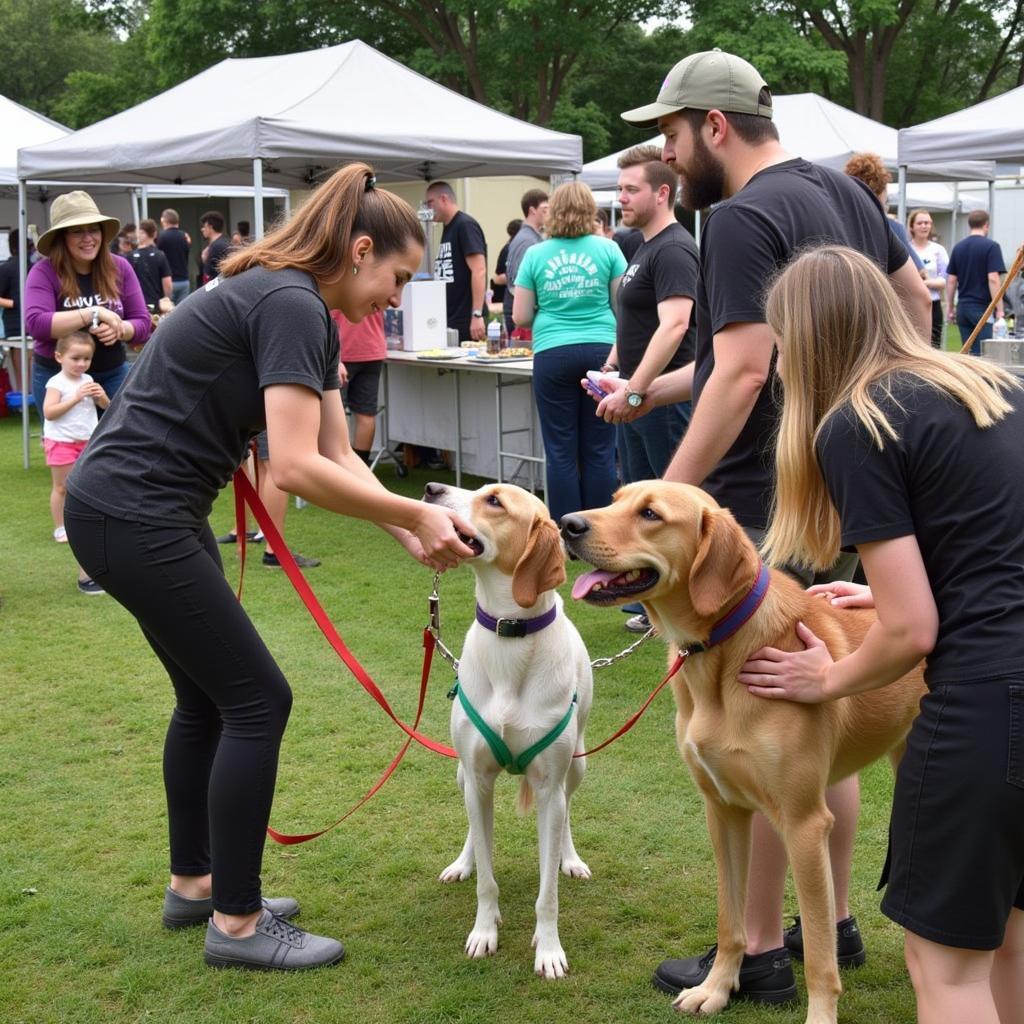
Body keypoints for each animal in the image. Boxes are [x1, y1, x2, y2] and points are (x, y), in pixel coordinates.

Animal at [421, 479, 593, 974]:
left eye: (494, 501)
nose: (430, 487)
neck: (509, 630)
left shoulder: (550, 786)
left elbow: (547, 893)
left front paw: (549, 949)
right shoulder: (477, 778)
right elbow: (487, 875)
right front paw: (485, 930)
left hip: (577, 767)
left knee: (567, 814)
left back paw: (569, 858)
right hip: (462, 774)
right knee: (473, 830)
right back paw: (463, 862)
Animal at [561, 483, 929, 1024]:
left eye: (650, 514)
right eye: (614, 499)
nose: (566, 523)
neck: (723, 650)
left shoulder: (803, 823)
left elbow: (819, 955)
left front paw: (820, 1014)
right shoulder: (725, 809)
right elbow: (730, 920)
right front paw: (715, 988)